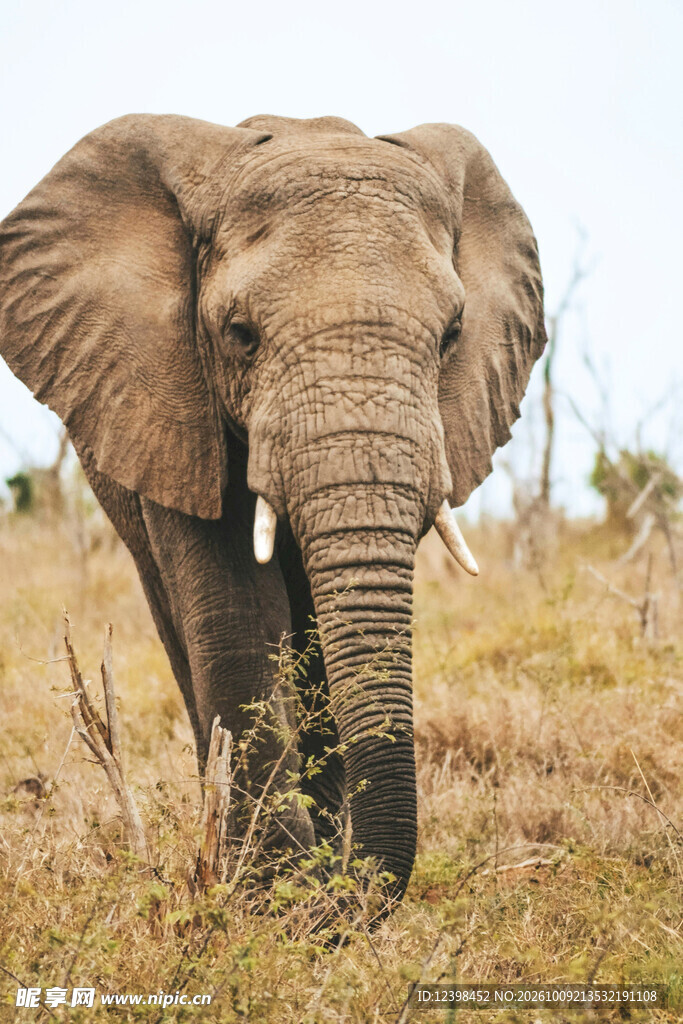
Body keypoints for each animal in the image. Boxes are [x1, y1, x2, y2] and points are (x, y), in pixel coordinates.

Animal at [0, 113, 546, 903]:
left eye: (451, 335)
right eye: (240, 334)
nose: (347, 897)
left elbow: (325, 623)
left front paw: (304, 884)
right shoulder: (171, 395)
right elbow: (233, 608)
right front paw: (274, 891)